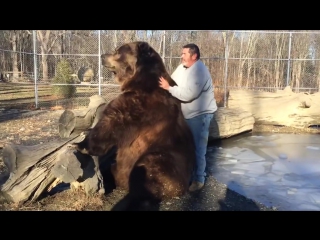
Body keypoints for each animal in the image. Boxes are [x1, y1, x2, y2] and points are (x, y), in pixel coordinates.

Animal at [73, 41, 196, 210]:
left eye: (118, 51)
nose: (102, 56)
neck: (139, 79)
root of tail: (183, 189)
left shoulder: (137, 105)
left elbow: (109, 123)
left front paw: (80, 144)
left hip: (160, 160)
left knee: (144, 175)